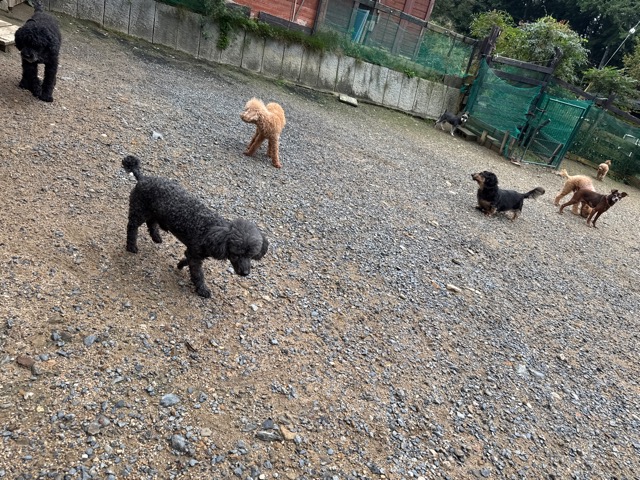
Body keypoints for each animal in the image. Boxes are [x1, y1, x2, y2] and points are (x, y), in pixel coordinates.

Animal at [122, 156, 269, 298]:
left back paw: (156, 237)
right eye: (236, 254)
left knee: (151, 223)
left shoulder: (194, 254)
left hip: (154, 212)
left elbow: (187, 260)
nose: (245, 273)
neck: (211, 231)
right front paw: (202, 290)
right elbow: (198, 274)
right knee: (132, 227)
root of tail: (143, 178)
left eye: (251, 255)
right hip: (139, 211)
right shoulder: (195, 255)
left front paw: (180, 264)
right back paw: (131, 246)